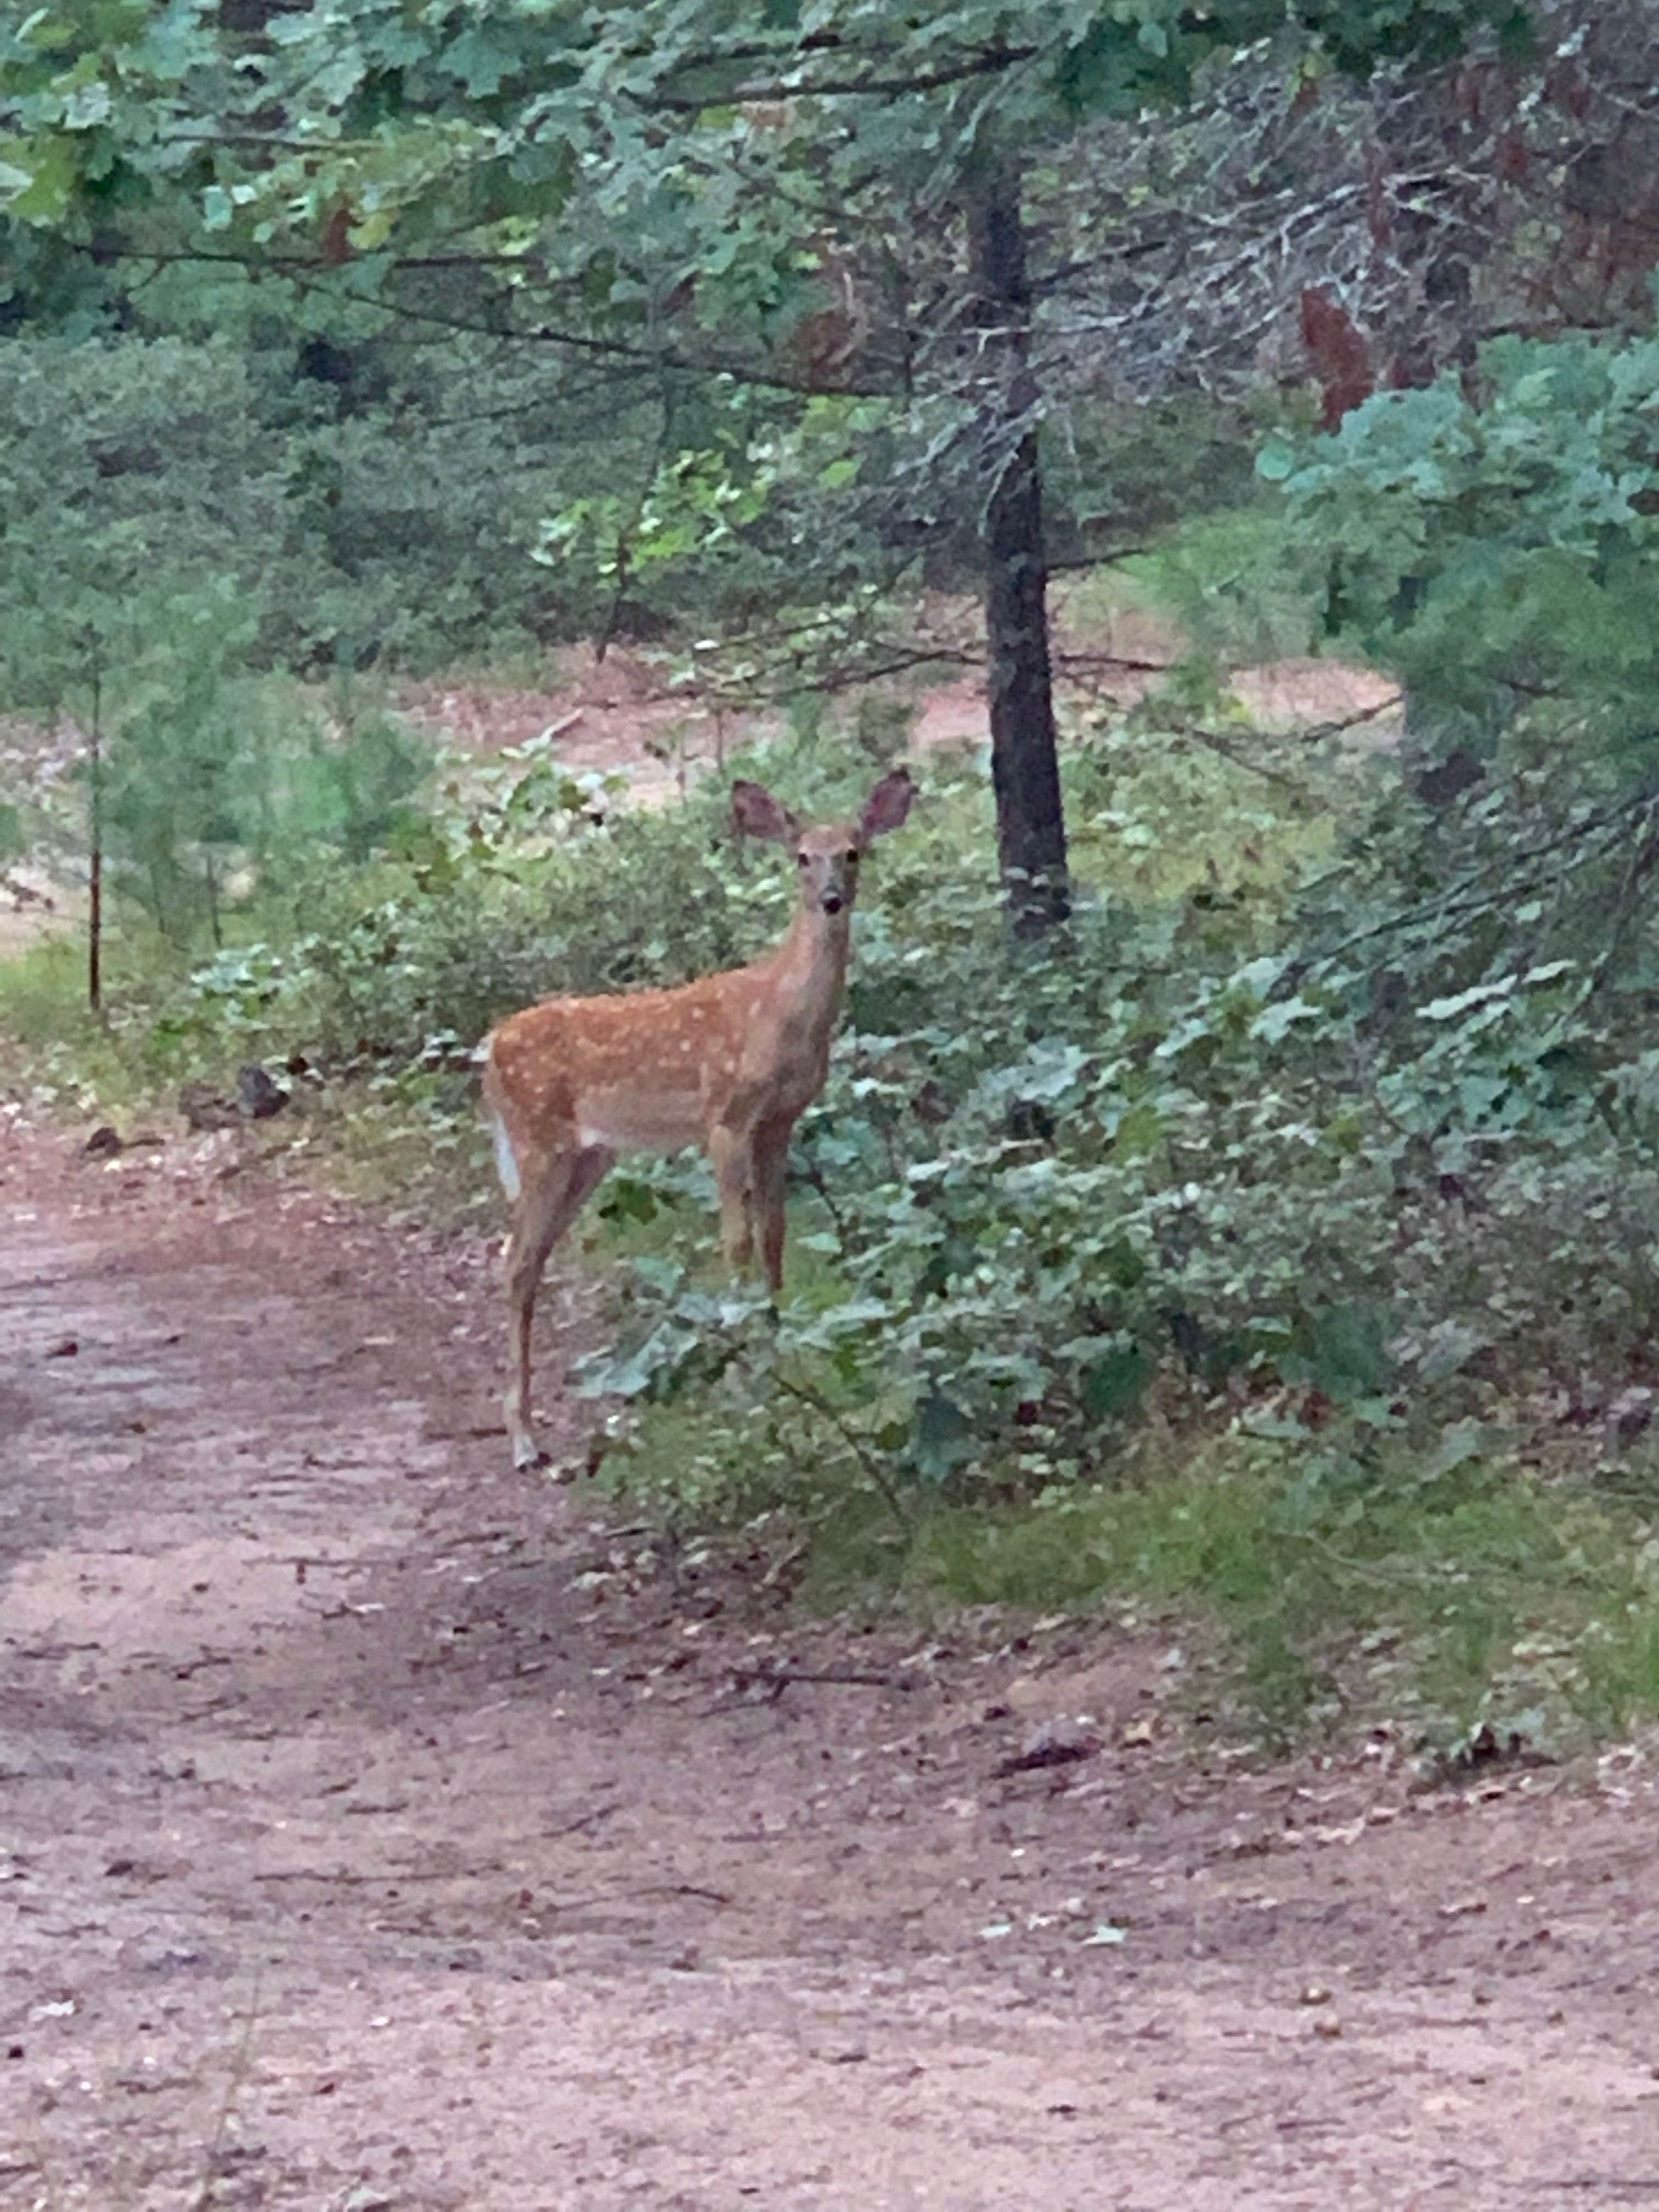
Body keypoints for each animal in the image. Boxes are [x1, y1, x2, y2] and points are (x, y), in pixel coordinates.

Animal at [479, 770, 924, 1477]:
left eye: (853, 852)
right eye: (802, 856)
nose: (831, 900)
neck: (780, 1014)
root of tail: (490, 1050)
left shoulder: (780, 1122)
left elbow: (775, 1233)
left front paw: (782, 1343)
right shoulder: (726, 1116)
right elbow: (735, 1240)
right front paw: (746, 1371)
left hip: (587, 1156)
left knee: (530, 1258)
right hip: (539, 1141)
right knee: (515, 1259)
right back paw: (522, 1441)